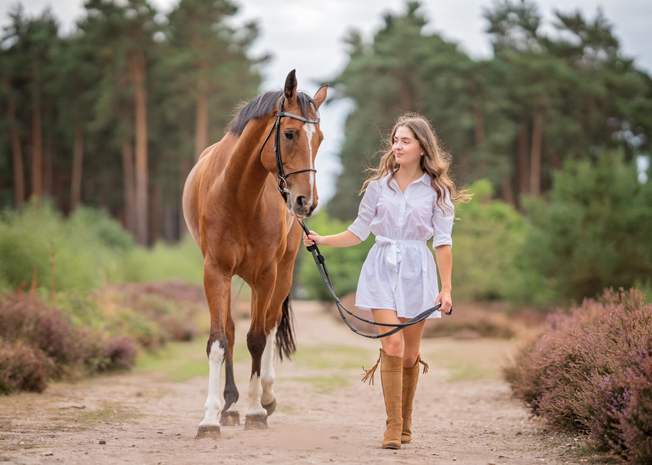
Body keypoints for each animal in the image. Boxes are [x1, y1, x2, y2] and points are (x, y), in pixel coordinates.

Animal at [182, 70, 326, 438]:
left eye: (319, 139)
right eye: (289, 133)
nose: (306, 202)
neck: (238, 196)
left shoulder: (265, 274)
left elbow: (259, 339)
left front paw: (257, 411)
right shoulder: (215, 270)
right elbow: (219, 341)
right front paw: (210, 417)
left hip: (283, 273)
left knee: (271, 324)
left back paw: (265, 397)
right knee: (233, 331)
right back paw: (231, 404)